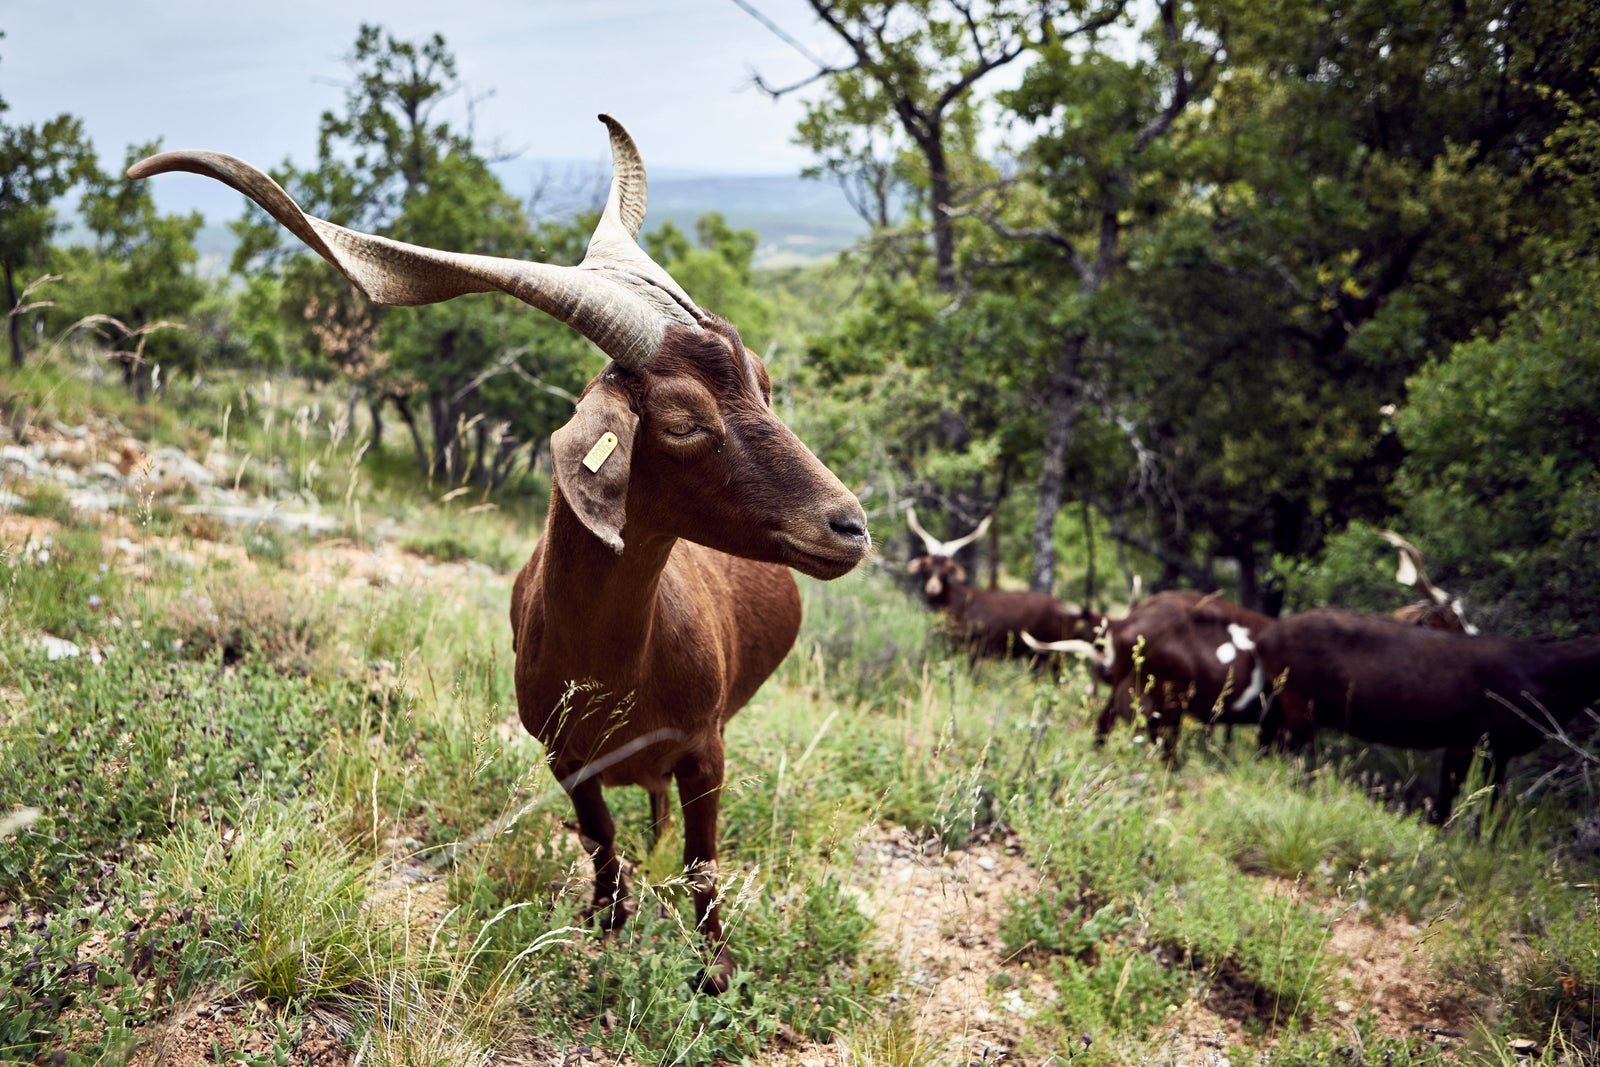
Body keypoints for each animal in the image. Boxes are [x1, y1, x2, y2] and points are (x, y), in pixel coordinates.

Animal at [131, 116, 872, 993]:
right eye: (684, 421)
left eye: (764, 381)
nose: (848, 525)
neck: (616, 667)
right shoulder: (563, 757)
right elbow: (599, 837)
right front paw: (606, 922)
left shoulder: (707, 747)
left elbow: (701, 861)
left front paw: (715, 969)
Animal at [906, 508, 1078, 664]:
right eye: (926, 564)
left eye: (948, 568)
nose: (933, 587)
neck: (957, 603)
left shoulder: (977, 649)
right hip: (1037, 656)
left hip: (1057, 654)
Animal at [1233, 608, 1600, 823]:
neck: (1544, 678)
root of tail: (1263, 638)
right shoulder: (1466, 736)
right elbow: (1446, 800)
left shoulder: (1500, 749)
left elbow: (1492, 804)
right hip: (1298, 702)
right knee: (1289, 756)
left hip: (1281, 700)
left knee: (1266, 745)